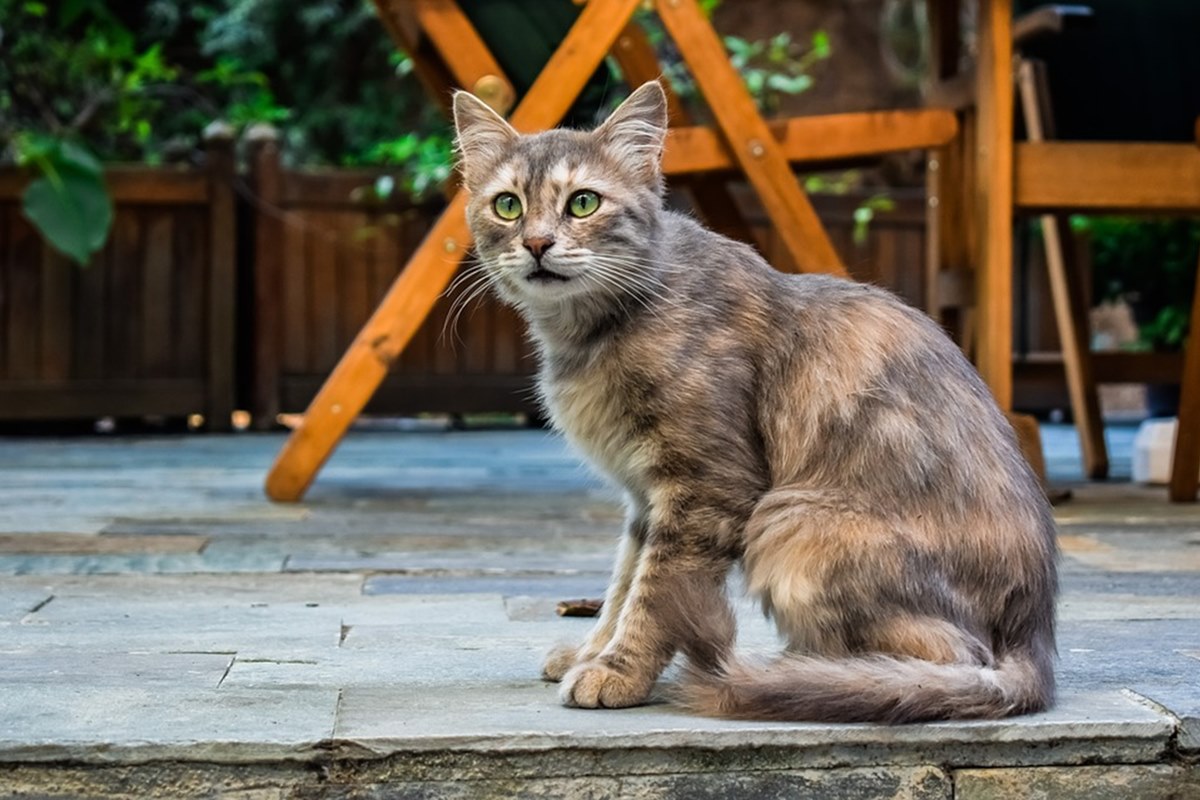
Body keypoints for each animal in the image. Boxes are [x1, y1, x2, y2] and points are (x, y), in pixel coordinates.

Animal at [451, 81, 1060, 724]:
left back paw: (803, 675)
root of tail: (1035, 639)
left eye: (584, 203)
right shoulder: (644, 498)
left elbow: (656, 592)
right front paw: (592, 651)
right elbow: (622, 583)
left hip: (790, 523)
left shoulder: (706, 486)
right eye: (508, 206)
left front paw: (618, 670)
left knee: (952, 657)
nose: (537, 243)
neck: (593, 333)